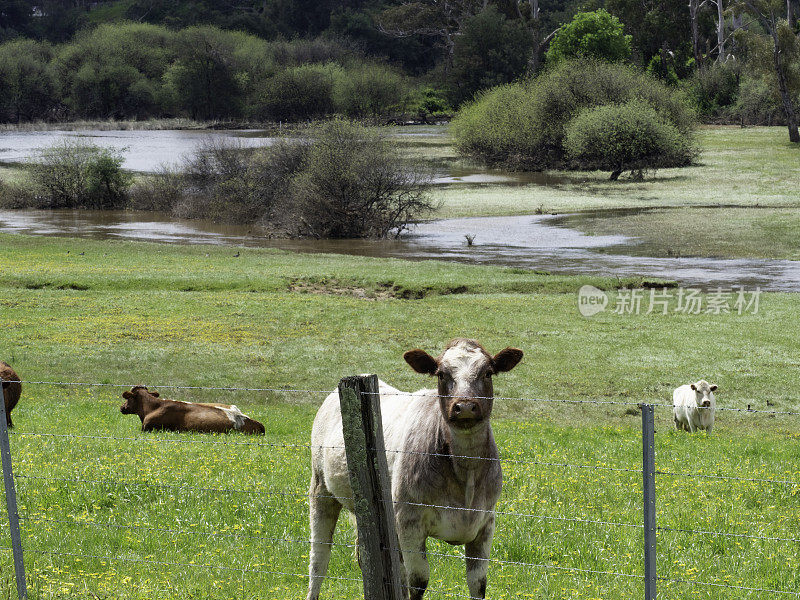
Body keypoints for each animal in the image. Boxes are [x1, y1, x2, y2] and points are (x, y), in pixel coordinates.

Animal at [306, 338, 524, 600]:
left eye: (488, 372)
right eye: (441, 374)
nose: (465, 407)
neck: (465, 471)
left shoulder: (485, 523)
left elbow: (478, 584)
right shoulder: (409, 521)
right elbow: (418, 582)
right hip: (321, 487)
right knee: (319, 558)